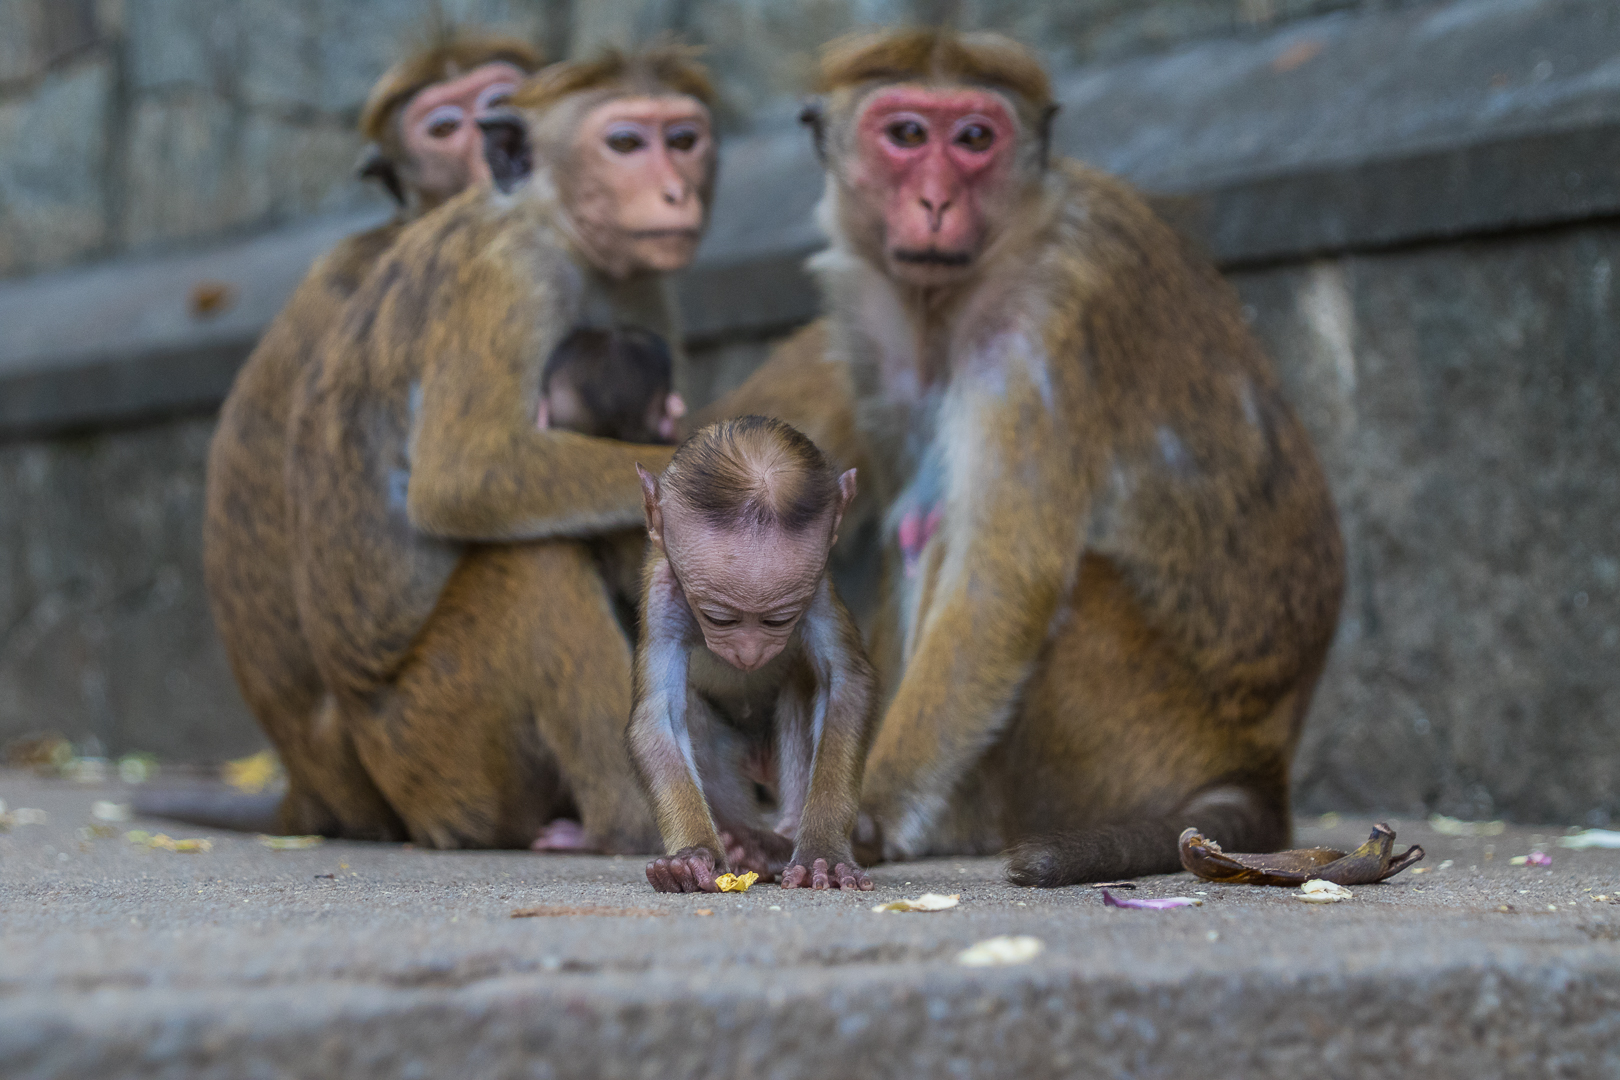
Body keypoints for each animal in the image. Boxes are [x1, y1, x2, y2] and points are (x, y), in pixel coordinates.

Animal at [283, 46, 722, 851]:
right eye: (624, 144)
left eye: (682, 140)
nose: (674, 191)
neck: (554, 222)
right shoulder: (506, 279)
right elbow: (467, 478)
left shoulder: (643, 287)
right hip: (439, 742)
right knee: (534, 560)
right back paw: (632, 824)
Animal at [631, 417, 877, 893]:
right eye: (719, 618)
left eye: (779, 620)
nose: (749, 654)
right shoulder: (663, 593)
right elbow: (659, 715)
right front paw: (693, 856)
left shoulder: (816, 590)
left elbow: (846, 684)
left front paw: (823, 851)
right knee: (693, 712)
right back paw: (749, 847)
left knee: (805, 683)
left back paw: (780, 841)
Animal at [708, 29, 1346, 887]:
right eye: (906, 134)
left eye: (975, 138)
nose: (936, 202)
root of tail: (1260, 762)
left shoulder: (1051, 314)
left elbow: (1001, 578)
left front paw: (861, 813)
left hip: (1133, 728)